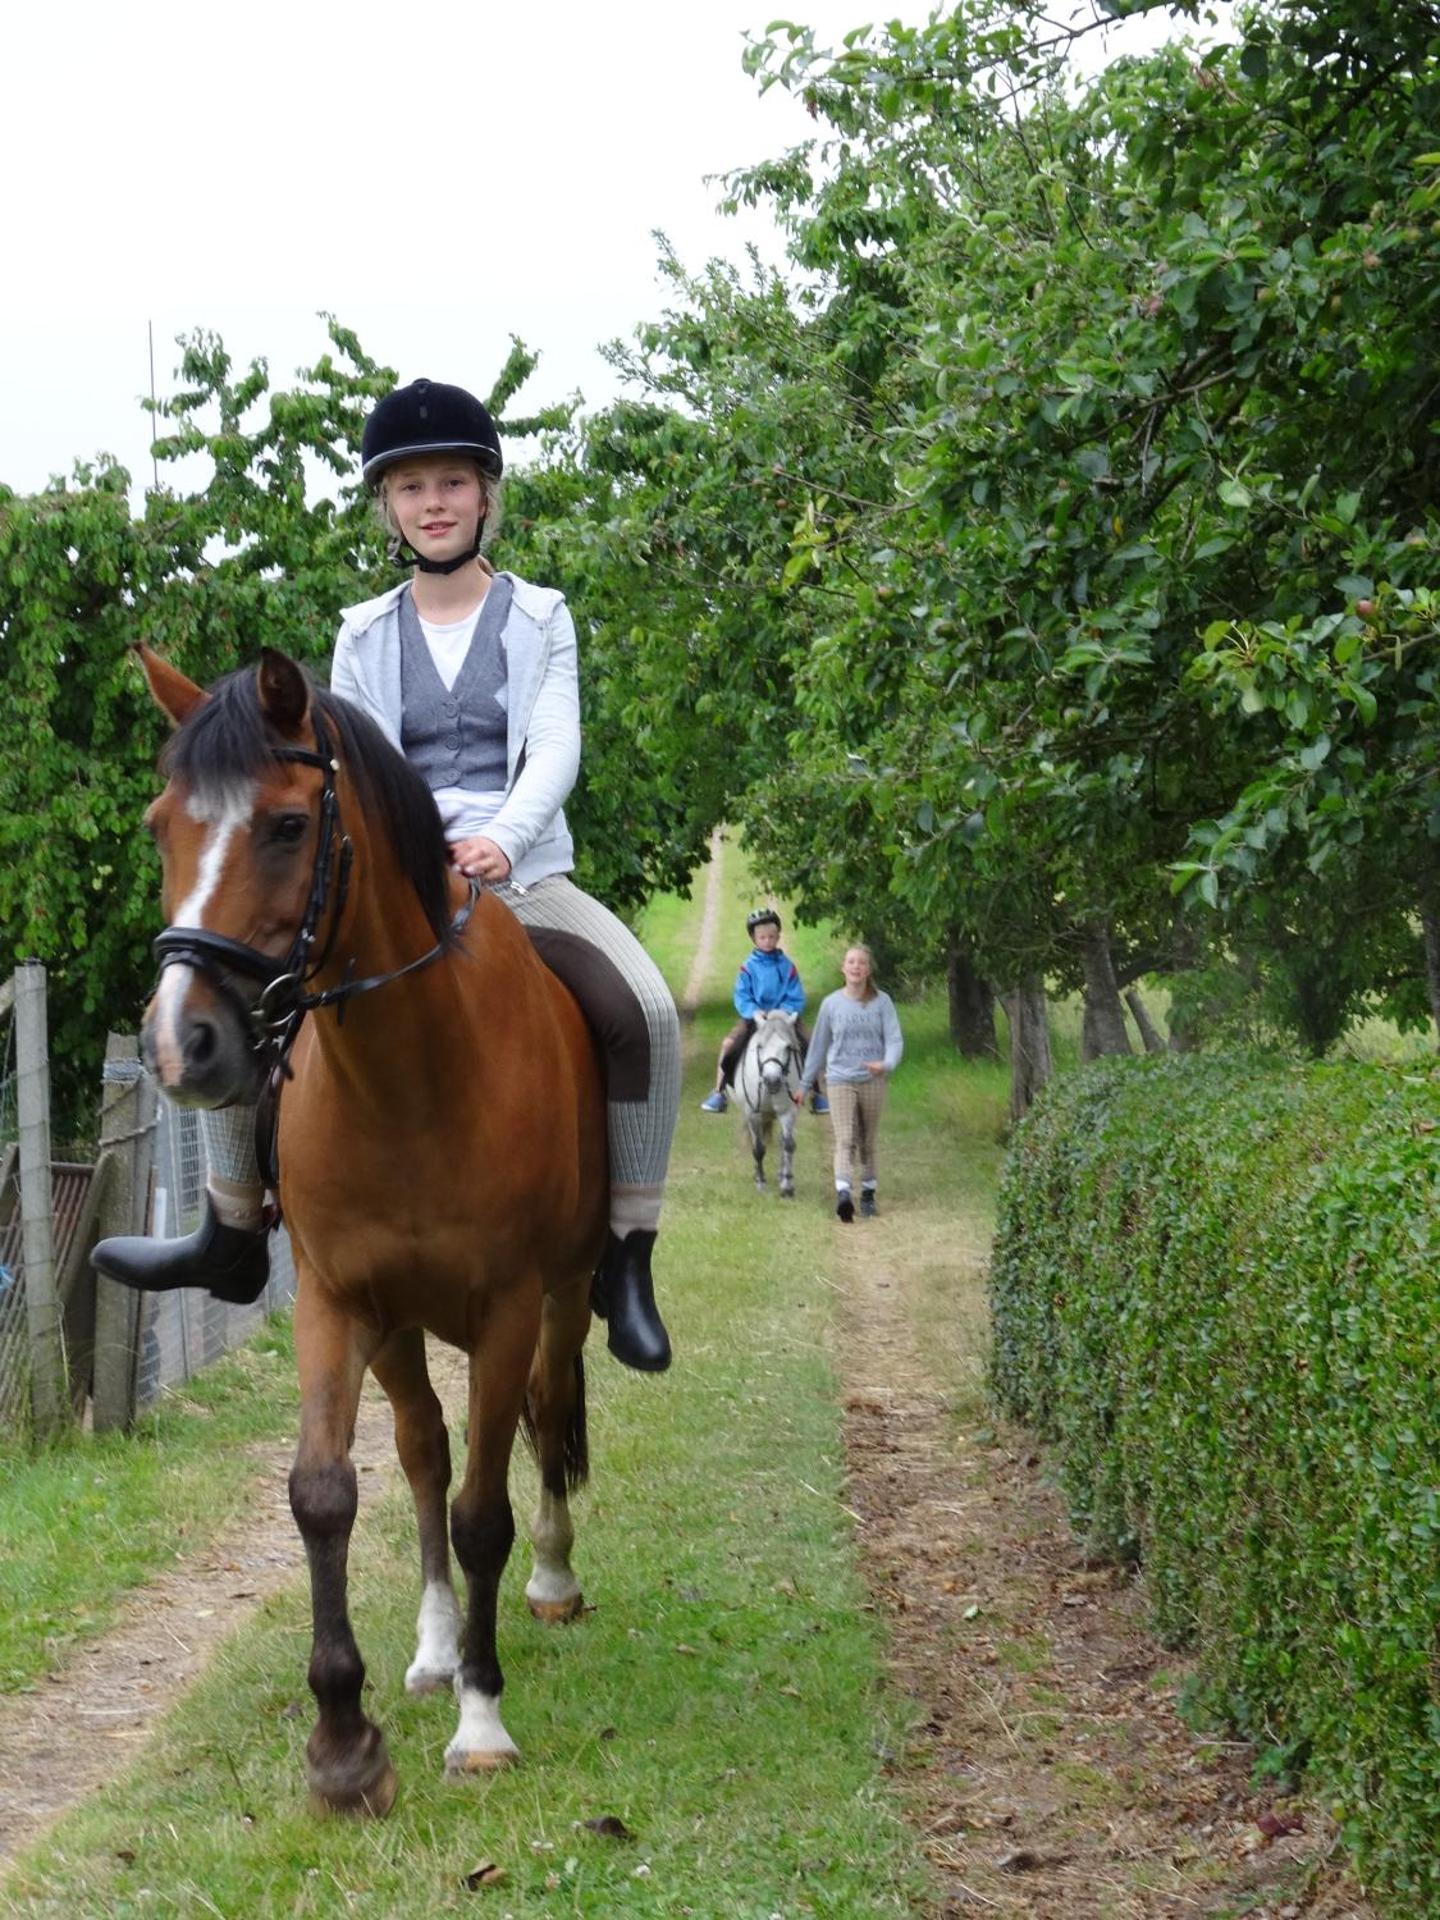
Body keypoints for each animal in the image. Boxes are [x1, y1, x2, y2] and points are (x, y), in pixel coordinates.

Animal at [132, 644, 608, 1816]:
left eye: (286, 826)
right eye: (164, 825)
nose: (180, 1045)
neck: (410, 1075)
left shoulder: (508, 1307)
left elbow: (486, 1509)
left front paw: (483, 1723)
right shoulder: (339, 1300)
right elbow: (325, 1494)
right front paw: (344, 1744)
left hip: (564, 1298)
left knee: (542, 1419)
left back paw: (551, 1579)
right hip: (395, 1324)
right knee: (424, 1449)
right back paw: (434, 1651)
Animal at [732, 1010, 803, 1198]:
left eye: (787, 1047)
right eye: (760, 1046)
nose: (772, 1080)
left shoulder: (788, 1112)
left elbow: (788, 1145)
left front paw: (787, 1186)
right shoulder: (753, 1113)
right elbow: (758, 1148)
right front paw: (760, 1183)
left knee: (782, 1141)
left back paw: (781, 1175)